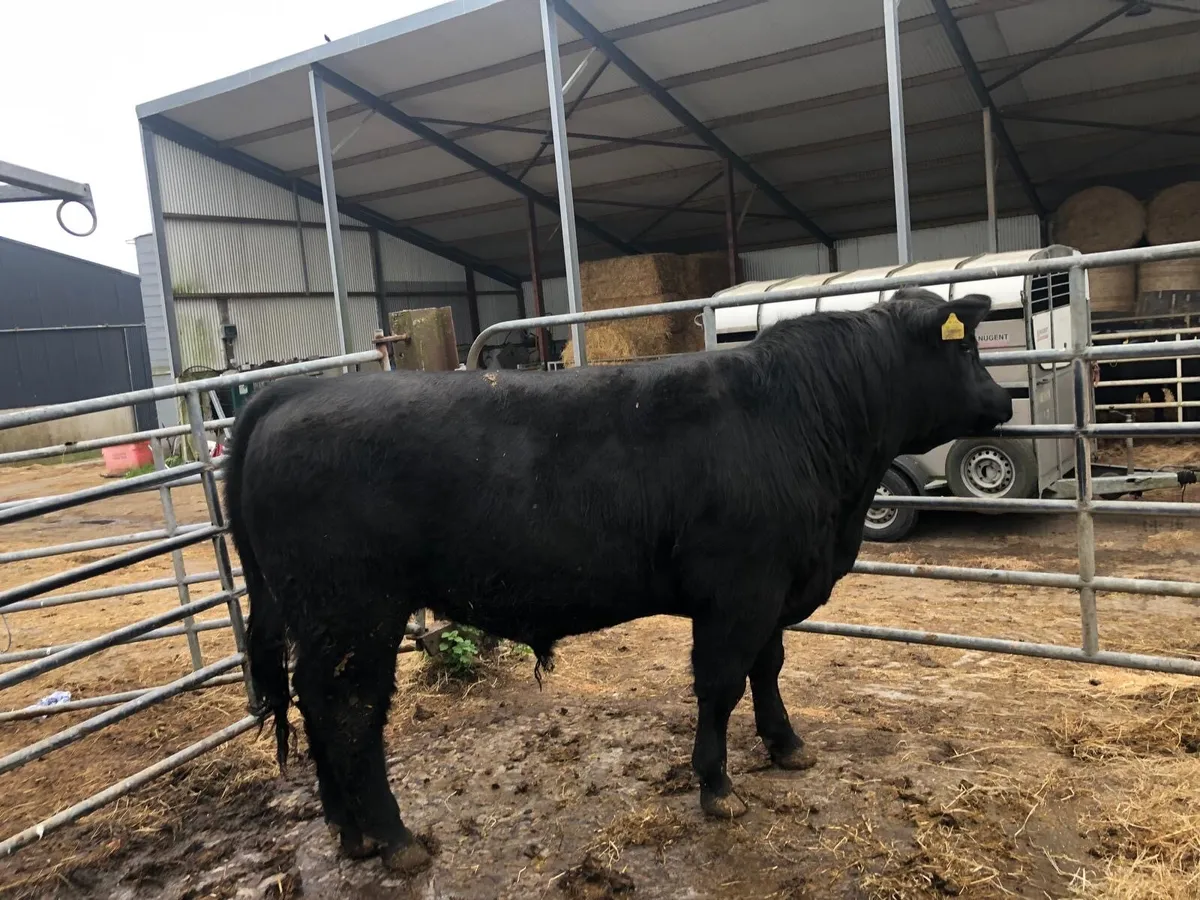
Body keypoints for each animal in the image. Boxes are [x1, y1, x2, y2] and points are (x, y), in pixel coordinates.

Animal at [224, 287, 1012, 874]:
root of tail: (292, 394)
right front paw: (717, 786)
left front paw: (787, 747)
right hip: (355, 611)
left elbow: (769, 667)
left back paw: (350, 833)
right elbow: (721, 684)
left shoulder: (771, 588)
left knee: (315, 702)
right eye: (966, 346)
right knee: (351, 711)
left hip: (320, 616)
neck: (801, 422)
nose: (1005, 402)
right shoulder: (739, 590)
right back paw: (395, 841)